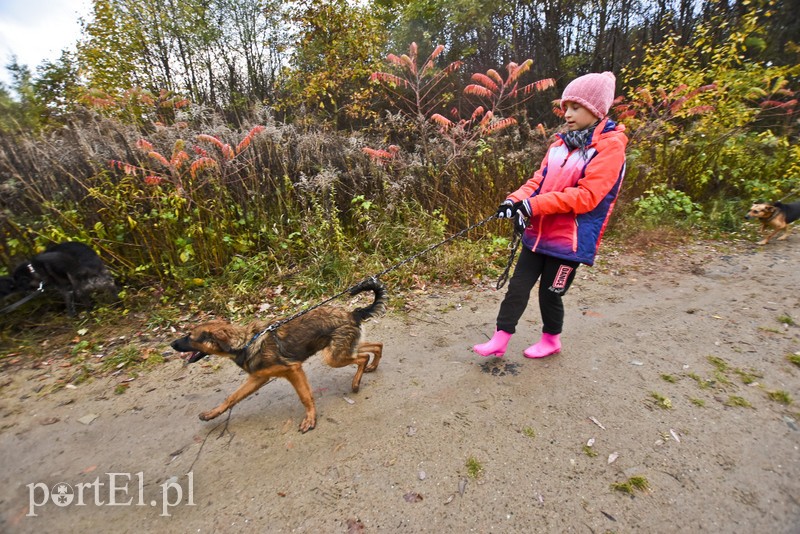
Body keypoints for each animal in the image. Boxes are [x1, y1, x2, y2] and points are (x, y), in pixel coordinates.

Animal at [172, 280, 388, 436]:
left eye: (189, 337)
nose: (172, 344)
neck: (245, 342)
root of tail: (352, 313)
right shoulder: (258, 378)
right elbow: (231, 397)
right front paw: (212, 413)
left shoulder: (293, 370)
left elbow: (305, 397)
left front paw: (310, 419)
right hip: (341, 349)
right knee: (376, 346)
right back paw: (372, 366)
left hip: (333, 356)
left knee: (362, 357)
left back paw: (356, 382)